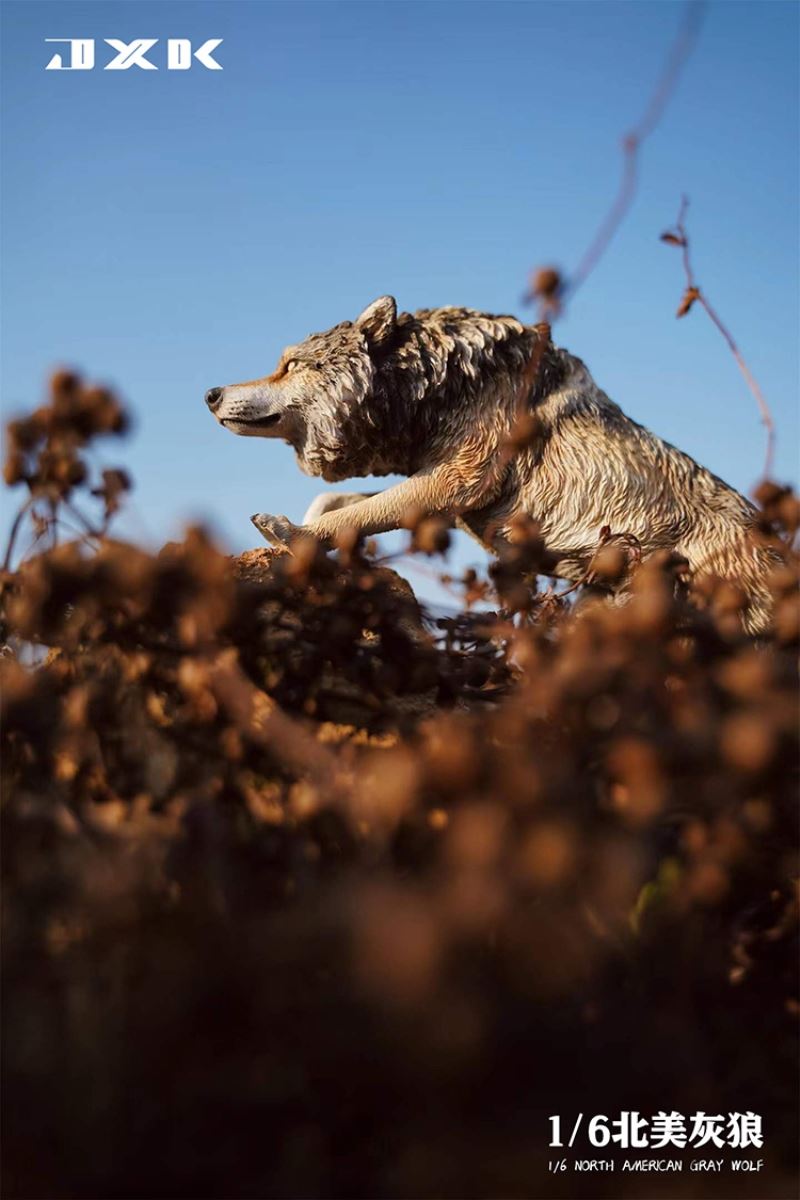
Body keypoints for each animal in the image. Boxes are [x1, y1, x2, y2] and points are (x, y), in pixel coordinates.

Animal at [205, 296, 777, 632]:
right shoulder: (445, 497)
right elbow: (336, 502)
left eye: (288, 365)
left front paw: (293, 535)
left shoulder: (458, 482)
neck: (440, 379)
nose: (210, 393)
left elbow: (347, 514)